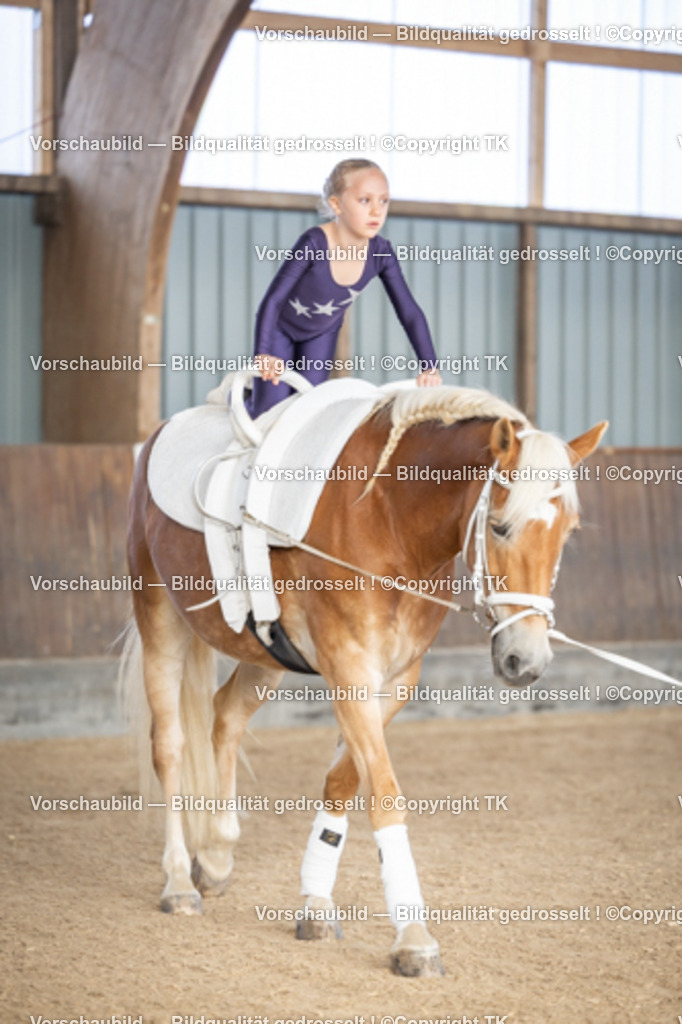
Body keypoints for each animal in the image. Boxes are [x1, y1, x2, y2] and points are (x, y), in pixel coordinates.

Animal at [120, 379, 606, 977]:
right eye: (499, 527)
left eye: (568, 533)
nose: (527, 661)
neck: (389, 516)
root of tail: (162, 432)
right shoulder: (350, 667)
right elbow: (385, 794)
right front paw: (414, 938)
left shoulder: (396, 679)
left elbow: (344, 781)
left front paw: (315, 904)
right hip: (159, 615)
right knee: (169, 745)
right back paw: (178, 883)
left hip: (265, 657)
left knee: (225, 716)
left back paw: (213, 855)